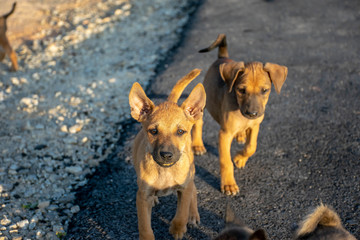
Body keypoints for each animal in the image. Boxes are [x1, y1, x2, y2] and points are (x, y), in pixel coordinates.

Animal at [130, 68, 207, 239]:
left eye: (180, 132)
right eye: (153, 131)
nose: (166, 155)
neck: (165, 171)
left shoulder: (184, 188)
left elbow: (182, 212)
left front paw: (178, 229)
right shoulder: (141, 196)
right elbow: (144, 225)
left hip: (191, 173)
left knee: (193, 191)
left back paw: (193, 215)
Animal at [193, 34, 288, 195]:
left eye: (265, 90)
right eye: (241, 90)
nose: (252, 113)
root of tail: (222, 57)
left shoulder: (255, 126)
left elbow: (252, 146)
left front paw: (239, 158)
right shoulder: (224, 134)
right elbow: (226, 161)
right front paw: (229, 184)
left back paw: (241, 135)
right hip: (204, 101)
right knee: (198, 123)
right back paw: (198, 145)